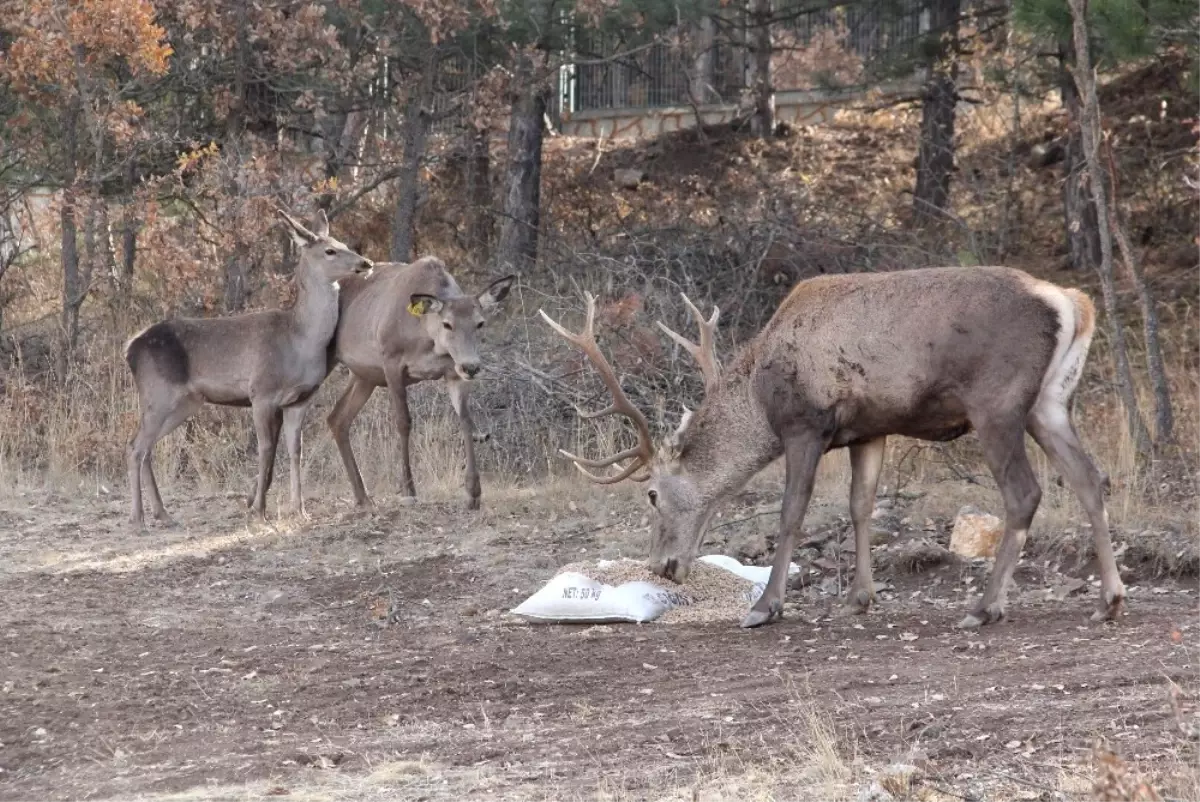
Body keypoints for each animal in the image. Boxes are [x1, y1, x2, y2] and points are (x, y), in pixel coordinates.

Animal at [124, 210, 372, 528]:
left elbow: (295, 450)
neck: (299, 341)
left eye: (343, 243)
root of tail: (131, 348)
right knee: (135, 447)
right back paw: (137, 517)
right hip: (158, 393)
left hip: (184, 403)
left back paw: (162, 513)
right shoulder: (261, 393)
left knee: (146, 448)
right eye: (330, 250)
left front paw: (299, 509)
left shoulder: (301, 399)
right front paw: (258, 510)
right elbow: (265, 449)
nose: (365, 263)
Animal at [324, 256, 516, 506]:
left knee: (337, 418)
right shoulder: (391, 361)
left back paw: (362, 497)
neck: (426, 338)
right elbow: (403, 422)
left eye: (480, 323)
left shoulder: (452, 371)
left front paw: (474, 491)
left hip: (364, 376)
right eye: (447, 324)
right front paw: (408, 490)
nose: (472, 367)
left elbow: (465, 420)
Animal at [544, 268, 1123, 633]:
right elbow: (860, 505)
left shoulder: (805, 426)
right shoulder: (869, 430)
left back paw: (985, 608)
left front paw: (766, 607)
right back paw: (1110, 599)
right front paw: (859, 598)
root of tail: (1073, 303)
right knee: (1091, 477)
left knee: (1024, 492)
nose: (662, 566)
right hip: (1049, 402)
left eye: (651, 495)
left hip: (997, 402)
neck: (759, 397)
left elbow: (792, 513)